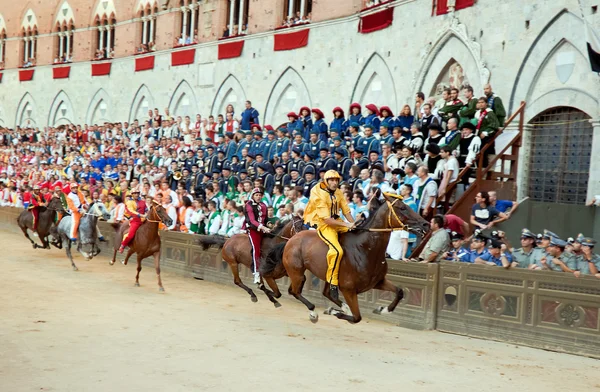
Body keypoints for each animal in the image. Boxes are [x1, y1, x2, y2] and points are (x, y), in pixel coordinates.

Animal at [278, 188, 428, 324]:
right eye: (402, 208)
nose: (425, 224)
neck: (365, 249)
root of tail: (292, 239)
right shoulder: (348, 290)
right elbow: (357, 317)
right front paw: (334, 311)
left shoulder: (378, 282)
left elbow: (400, 291)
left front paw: (382, 309)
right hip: (297, 273)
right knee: (294, 291)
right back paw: (315, 312)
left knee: (325, 293)